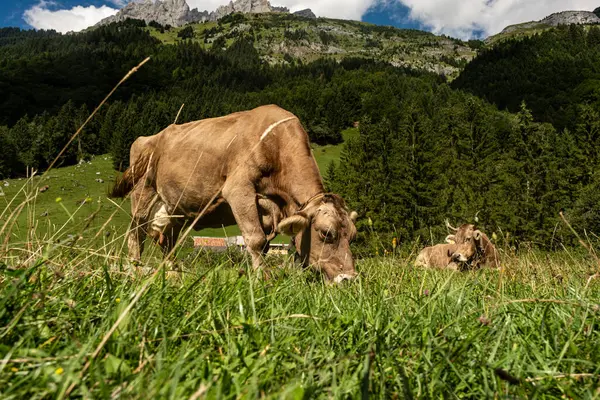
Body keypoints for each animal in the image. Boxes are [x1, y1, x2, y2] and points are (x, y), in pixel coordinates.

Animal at [110, 104, 358, 282]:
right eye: (326, 233)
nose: (348, 279)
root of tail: (149, 137)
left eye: (353, 236)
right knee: (137, 232)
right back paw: (135, 270)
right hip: (143, 191)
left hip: (177, 208)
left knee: (167, 240)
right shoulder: (239, 188)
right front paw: (262, 281)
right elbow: (256, 240)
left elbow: (269, 246)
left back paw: (174, 277)